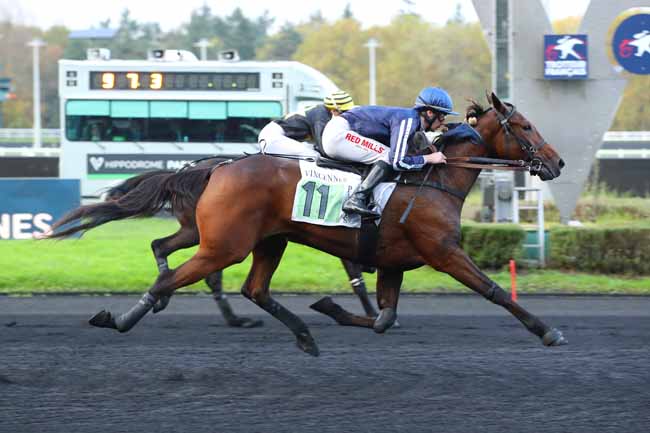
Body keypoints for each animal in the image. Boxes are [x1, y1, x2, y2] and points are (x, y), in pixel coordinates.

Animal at [46, 93, 560, 354]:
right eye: (526, 127)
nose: (556, 163)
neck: (434, 181)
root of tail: (219, 167)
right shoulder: (444, 251)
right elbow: (494, 291)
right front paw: (546, 330)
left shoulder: (393, 261)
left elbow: (383, 318)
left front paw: (330, 308)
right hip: (225, 244)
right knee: (177, 276)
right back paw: (122, 318)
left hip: (265, 240)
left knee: (248, 286)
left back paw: (304, 334)